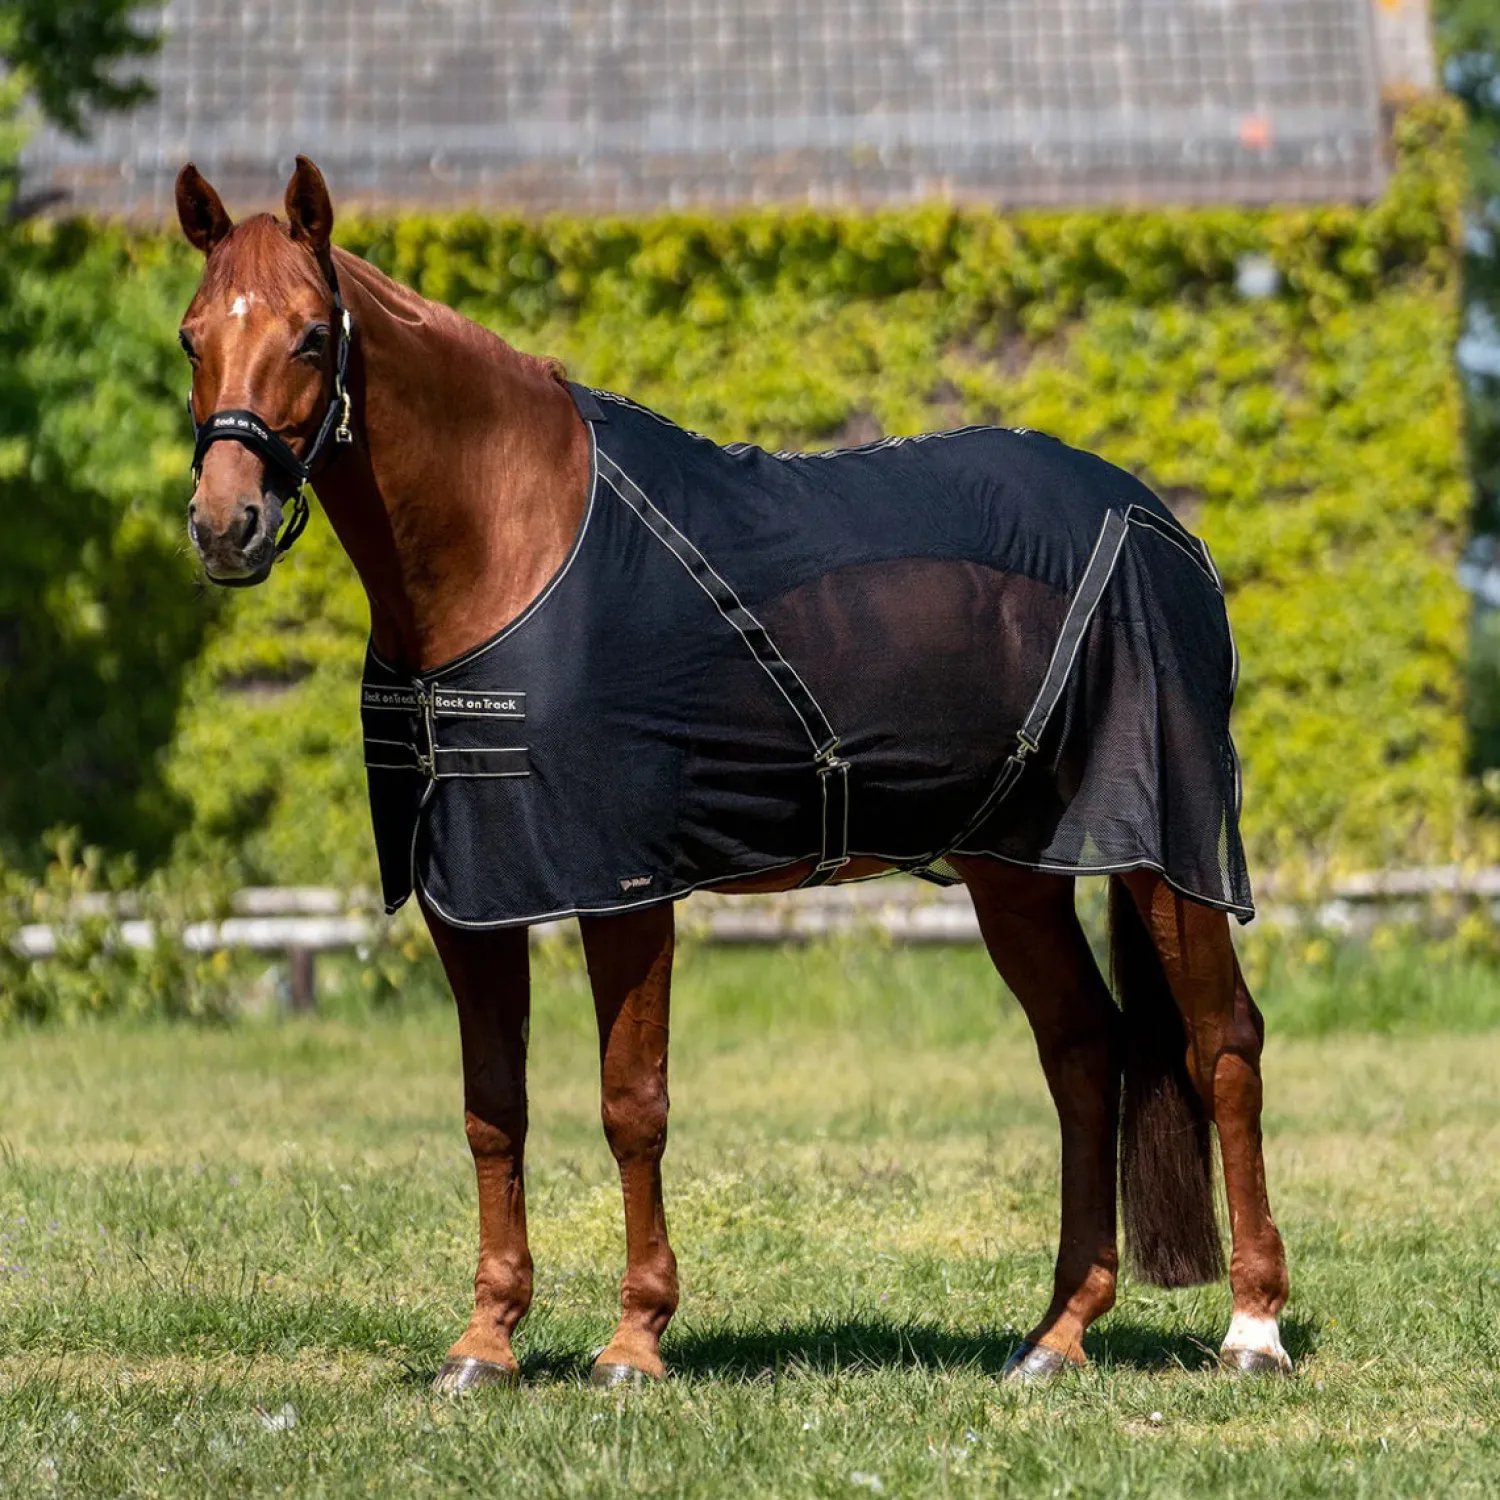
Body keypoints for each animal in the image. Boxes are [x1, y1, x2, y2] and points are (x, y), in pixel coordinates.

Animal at [173, 157, 1290, 1391]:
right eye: (191, 338)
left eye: (311, 336)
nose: (226, 524)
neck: (516, 546)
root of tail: (1164, 525)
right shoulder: (469, 894)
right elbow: (492, 1110)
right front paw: (486, 1341)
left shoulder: (623, 887)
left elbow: (632, 1103)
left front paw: (634, 1340)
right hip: (1015, 872)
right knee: (1084, 1052)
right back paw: (1056, 1335)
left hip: (1164, 854)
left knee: (1223, 1045)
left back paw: (1255, 1328)